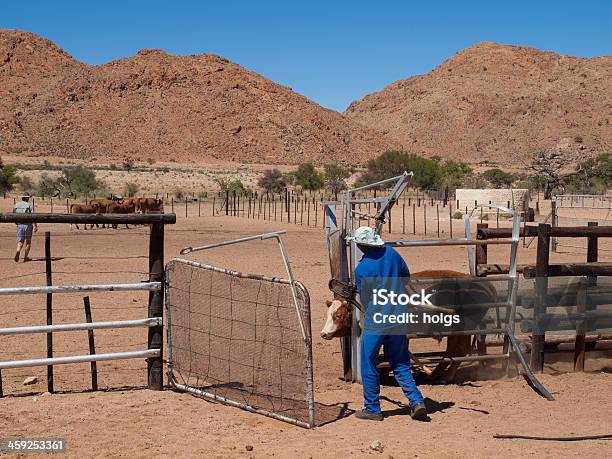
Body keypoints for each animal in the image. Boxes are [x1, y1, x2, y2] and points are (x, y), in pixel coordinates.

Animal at [320, 272, 498, 382]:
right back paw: (436, 374)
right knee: (452, 351)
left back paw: (446, 376)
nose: (323, 333)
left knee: (459, 350)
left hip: (463, 328)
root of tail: (487, 286)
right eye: (328, 314)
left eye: (338, 316)